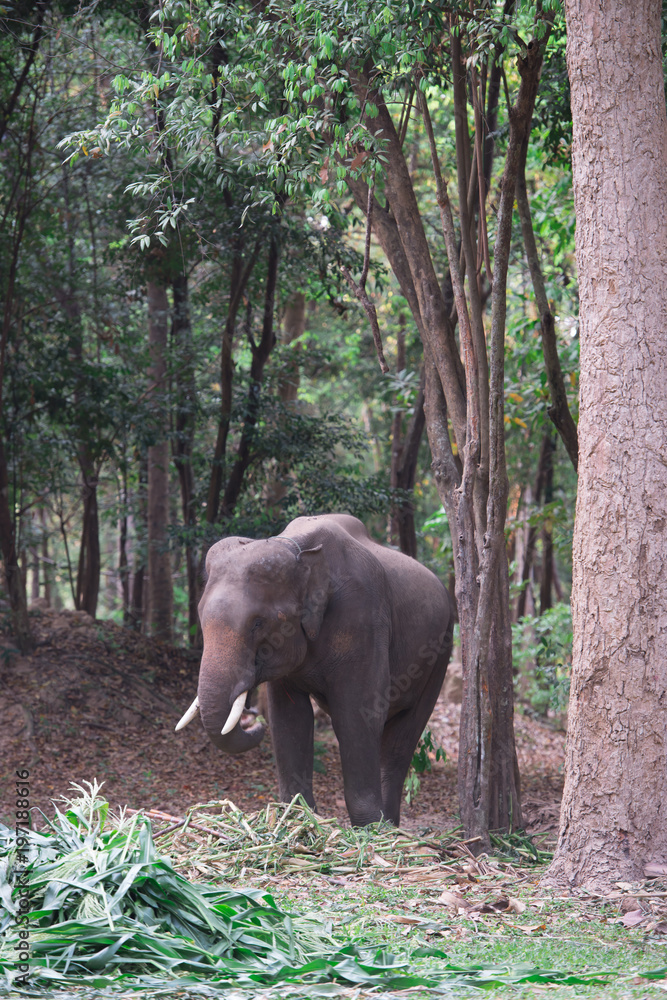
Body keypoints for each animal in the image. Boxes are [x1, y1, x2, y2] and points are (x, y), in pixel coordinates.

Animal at [175, 513, 454, 826]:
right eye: (200, 616)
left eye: (258, 623)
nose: (253, 722)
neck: (296, 550)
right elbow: (290, 717)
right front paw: (297, 815)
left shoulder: (363, 620)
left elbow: (358, 715)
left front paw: (367, 827)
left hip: (441, 650)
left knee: (403, 736)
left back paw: (388, 828)